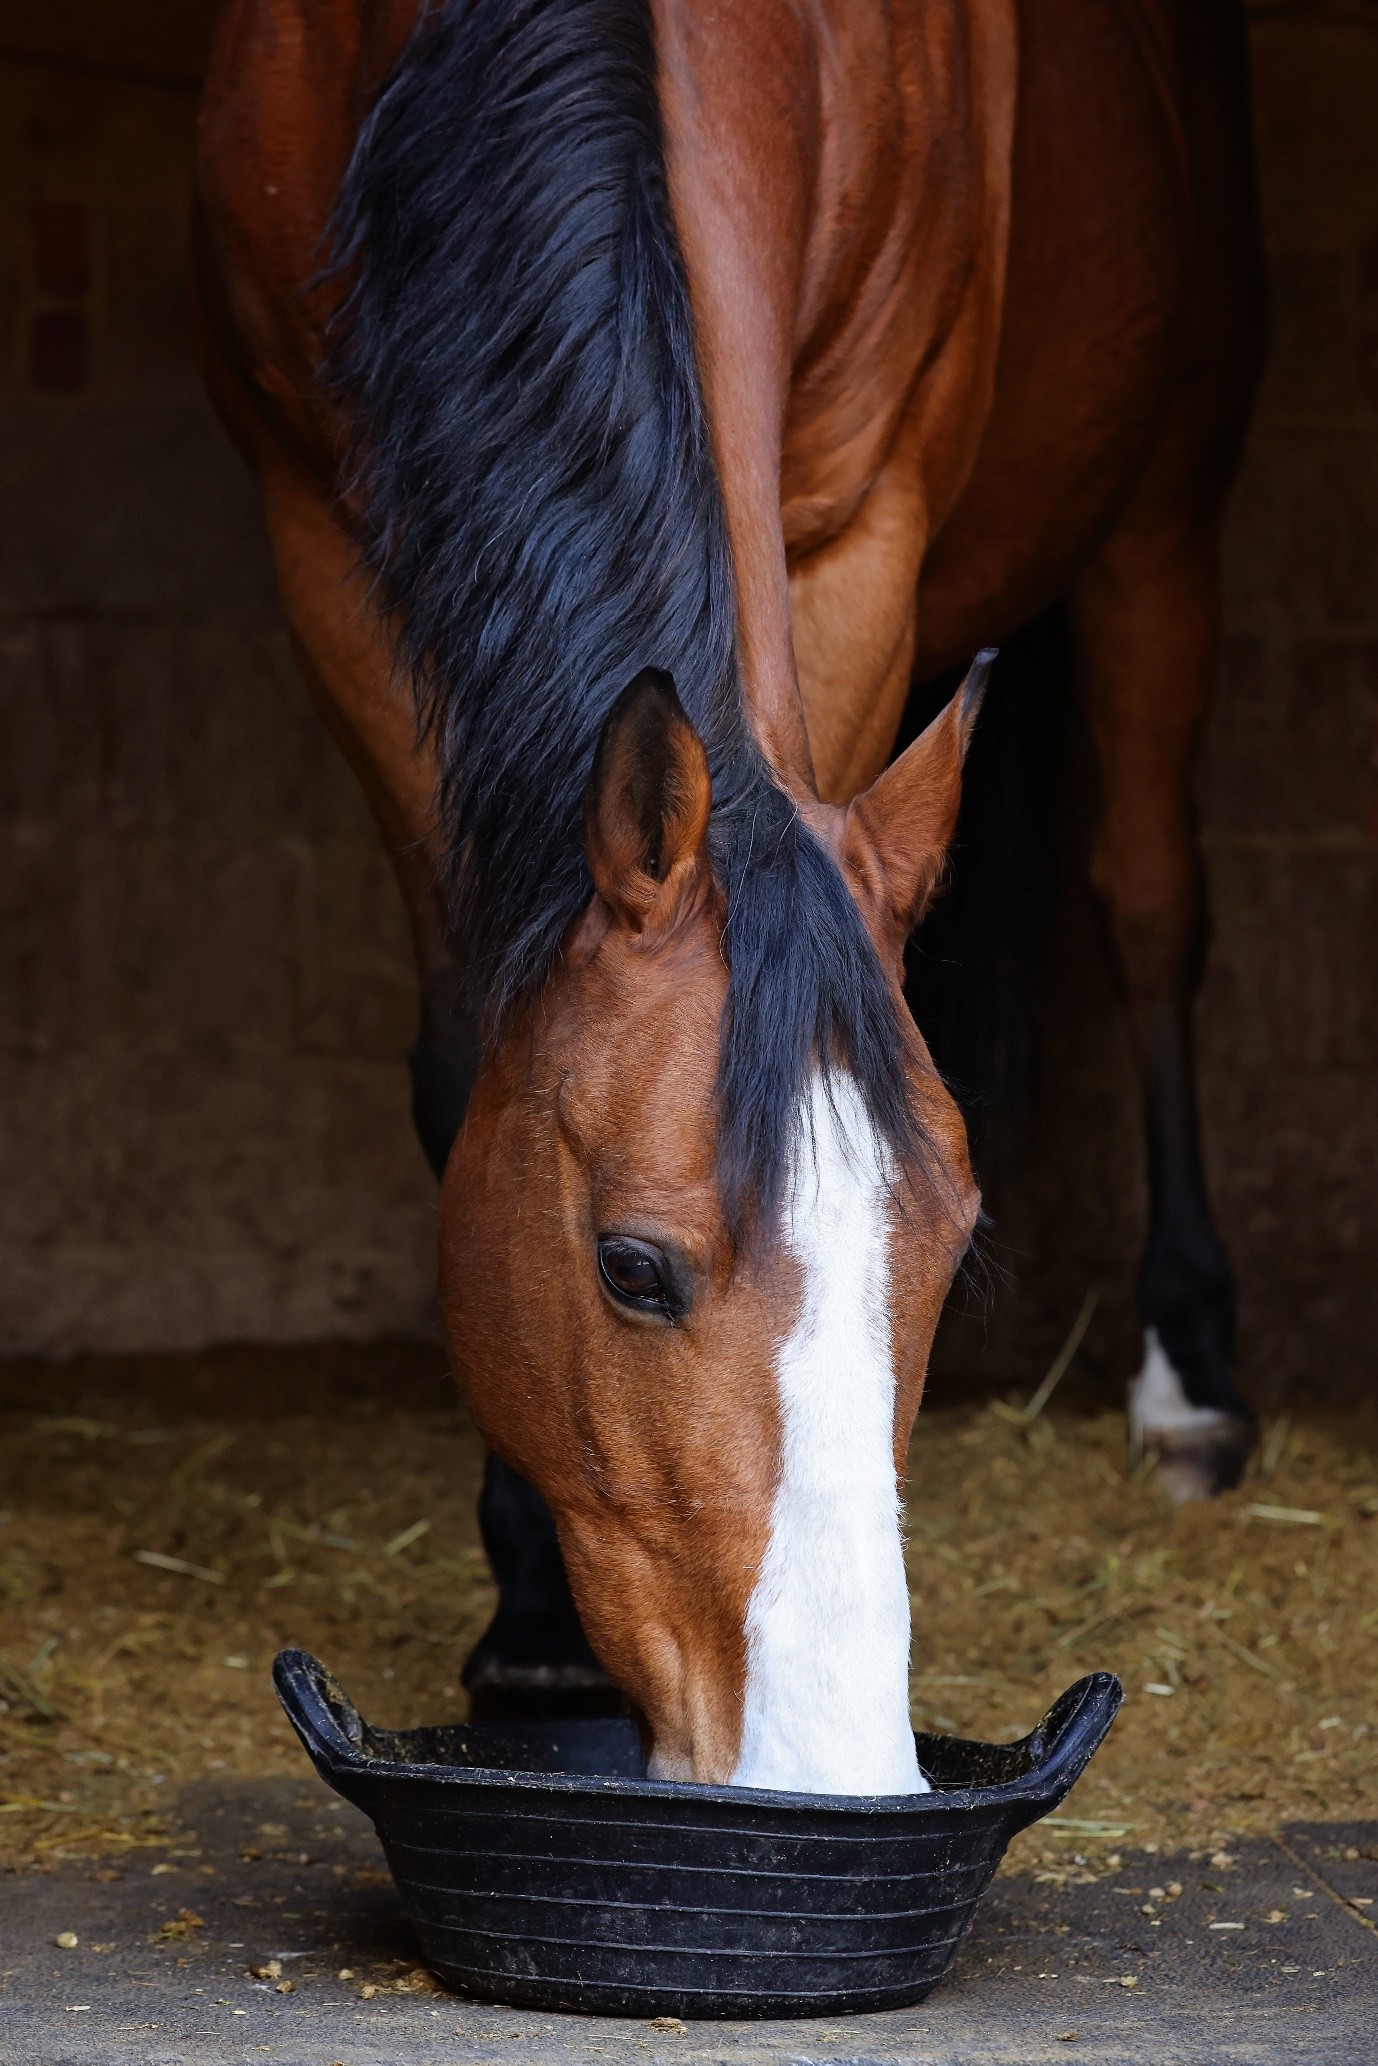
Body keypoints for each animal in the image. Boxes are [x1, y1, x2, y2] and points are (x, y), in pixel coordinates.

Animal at [194, 0, 1266, 1789]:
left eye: (948, 1246)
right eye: (630, 1268)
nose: (831, 1768)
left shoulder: (859, 521)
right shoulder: (323, 535)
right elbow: (460, 1056)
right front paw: (532, 1615)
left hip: (1163, 514)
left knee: (1152, 906)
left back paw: (1189, 1380)